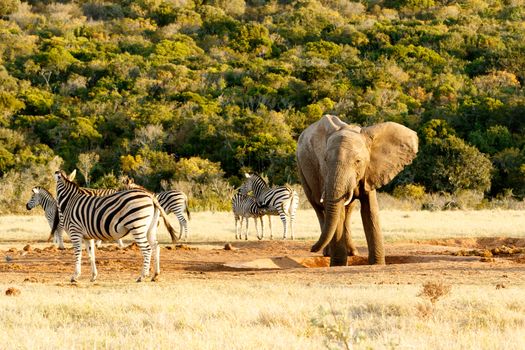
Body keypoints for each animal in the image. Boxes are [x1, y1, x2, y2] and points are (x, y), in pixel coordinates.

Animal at [294, 115, 418, 266]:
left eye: (358, 161)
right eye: (325, 160)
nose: (311, 249)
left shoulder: (370, 170)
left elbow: (370, 210)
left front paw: (377, 264)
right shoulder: (323, 172)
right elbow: (337, 211)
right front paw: (338, 265)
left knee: (348, 209)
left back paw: (352, 253)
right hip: (301, 169)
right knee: (318, 207)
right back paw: (328, 253)